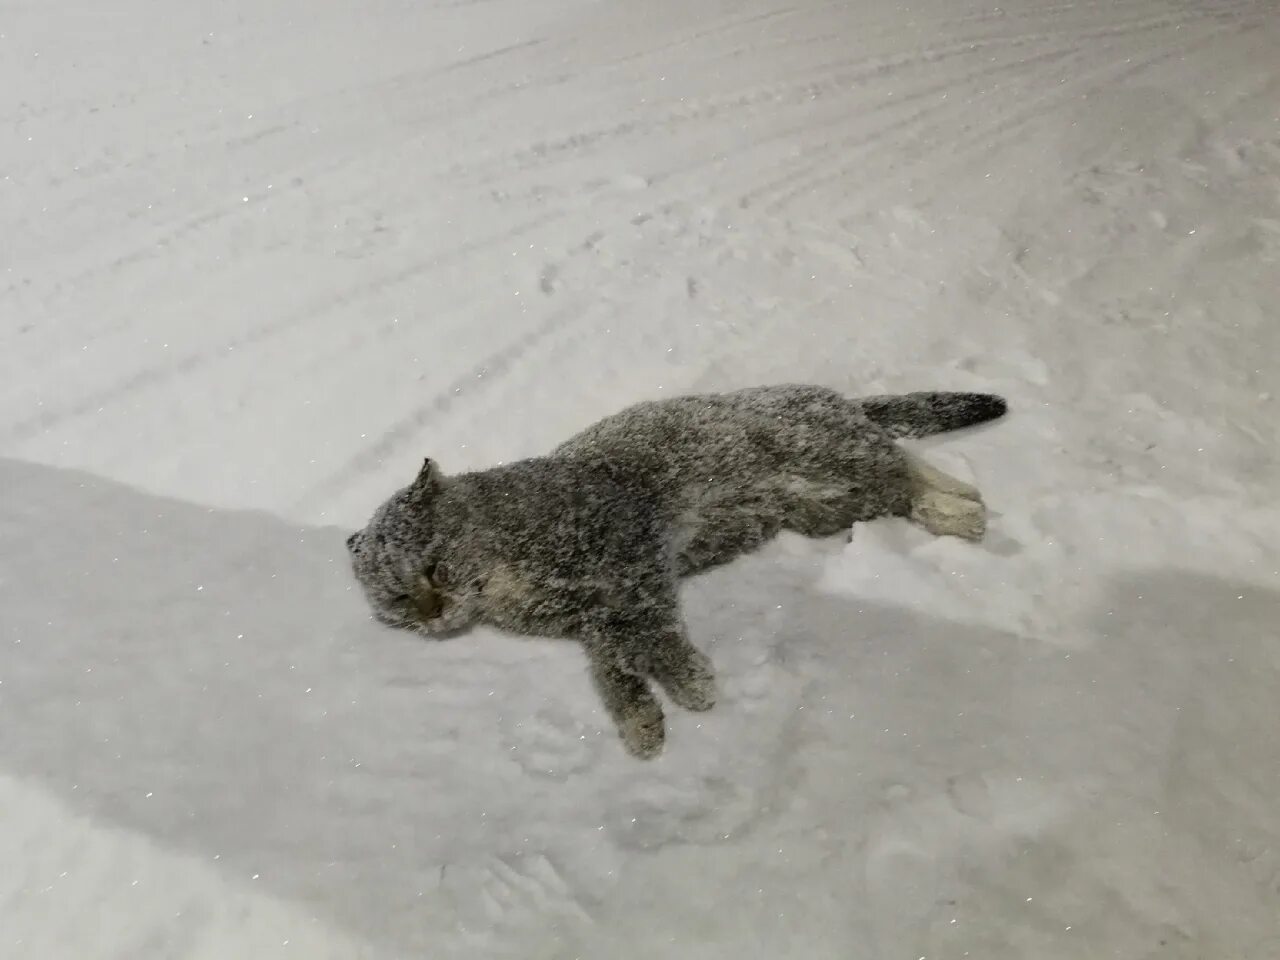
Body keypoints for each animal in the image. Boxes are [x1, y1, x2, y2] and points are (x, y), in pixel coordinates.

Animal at [345, 384, 1003, 757]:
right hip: (823, 506)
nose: (431, 615)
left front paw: (688, 680)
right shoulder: (593, 618)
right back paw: (961, 499)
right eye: (397, 598)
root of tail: (834, 393)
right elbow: (612, 669)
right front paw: (640, 721)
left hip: (834, 463)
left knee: (902, 470)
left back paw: (961, 511)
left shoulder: (636, 560)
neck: (503, 587)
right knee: (904, 473)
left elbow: (655, 634)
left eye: (434, 567)